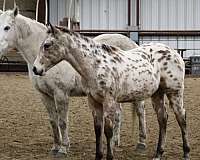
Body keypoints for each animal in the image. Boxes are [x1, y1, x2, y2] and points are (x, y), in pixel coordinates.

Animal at [0, 7, 146, 156]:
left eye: (7, 27)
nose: (37, 69)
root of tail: (133, 44)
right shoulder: (44, 95)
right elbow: (53, 121)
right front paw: (55, 147)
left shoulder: (61, 94)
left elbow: (62, 121)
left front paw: (63, 149)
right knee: (118, 113)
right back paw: (115, 142)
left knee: (140, 111)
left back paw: (141, 143)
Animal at [33, 25, 191, 160]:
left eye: (47, 45)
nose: (35, 69)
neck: (95, 65)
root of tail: (174, 53)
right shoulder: (94, 102)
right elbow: (98, 130)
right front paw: (98, 156)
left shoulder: (108, 101)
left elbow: (108, 130)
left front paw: (110, 156)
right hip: (157, 94)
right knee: (163, 119)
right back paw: (158, 154)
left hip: (175, 93)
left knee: (181, 118)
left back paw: (186, 153)